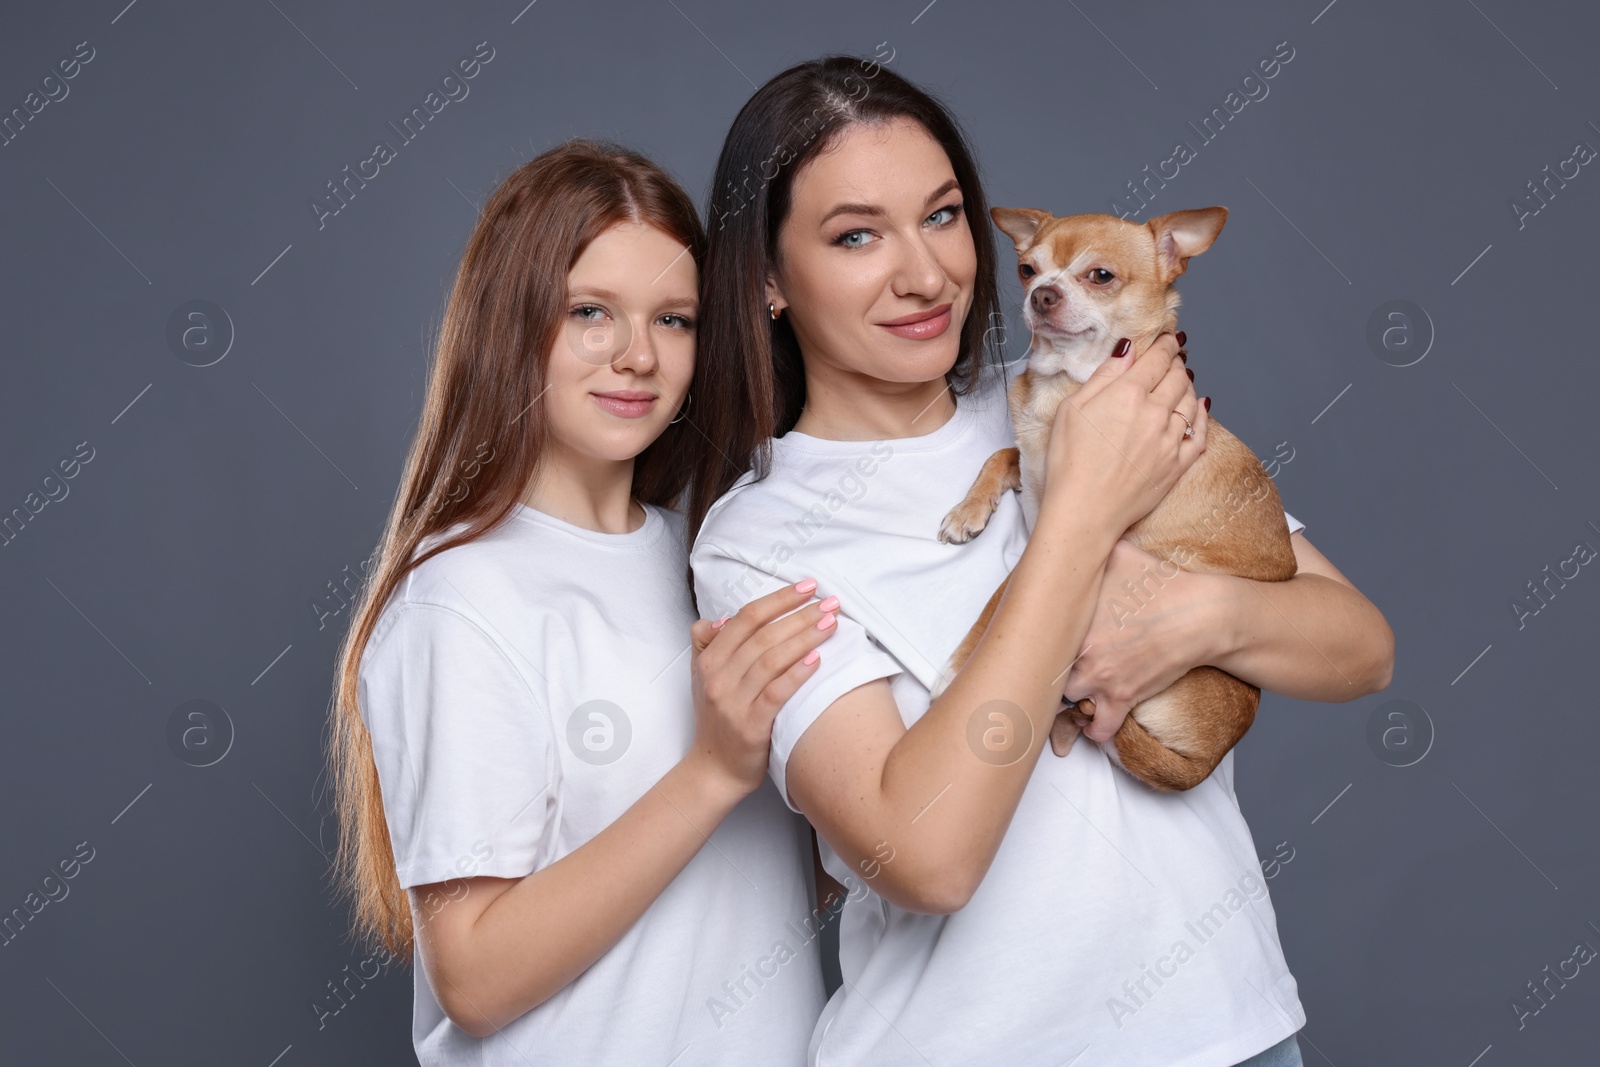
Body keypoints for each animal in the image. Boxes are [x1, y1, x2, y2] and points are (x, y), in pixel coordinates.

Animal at [934, 206, 1299, 793]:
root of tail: (1199, 767)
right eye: (1026, 269)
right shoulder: (1033, 468)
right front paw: (968, 512)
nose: (1042, 293)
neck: (1065, 386)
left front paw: (955, 671)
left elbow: (1000, 597)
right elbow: (1003, 455)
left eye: (1100, 276)